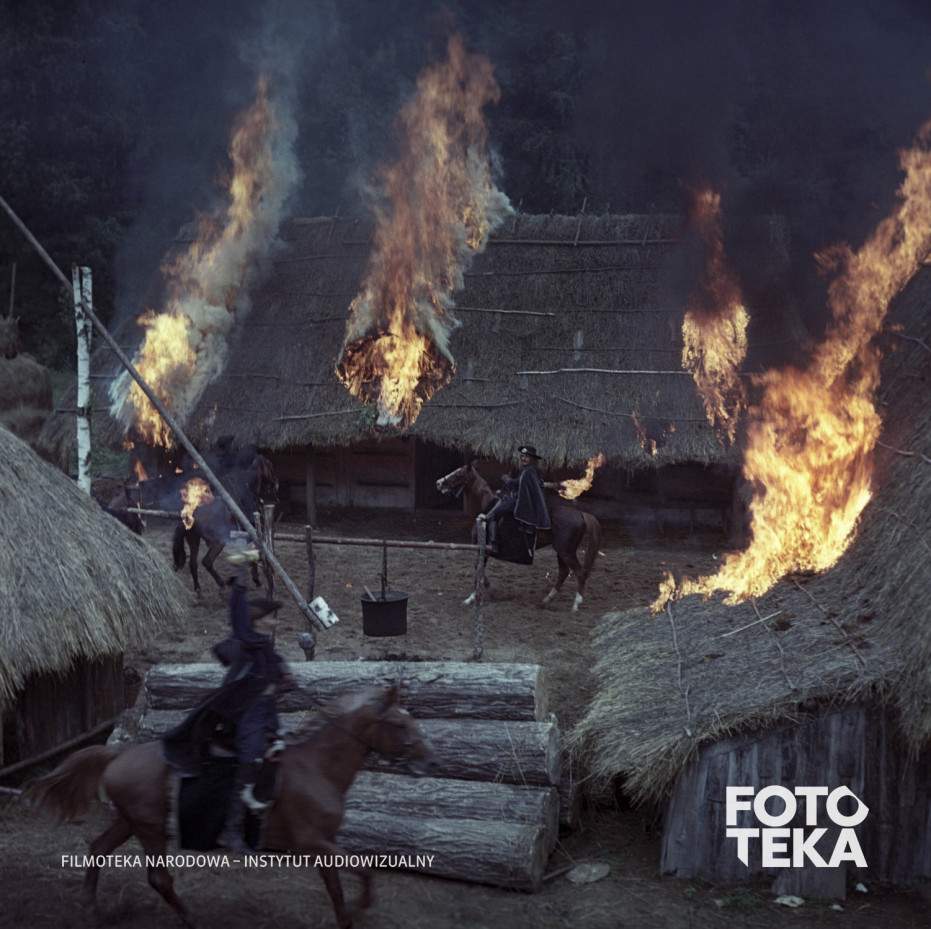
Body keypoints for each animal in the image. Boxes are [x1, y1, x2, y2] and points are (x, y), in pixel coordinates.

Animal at [29, 684, 436, 929]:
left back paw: (92, 910)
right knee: (159, 878)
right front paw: (360, 906)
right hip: (149, 830)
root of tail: (120, 753)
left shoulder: (324, 845)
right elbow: (364, 871)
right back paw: (192, 919)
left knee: (98, 849)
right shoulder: (311, 842)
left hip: (133, 822)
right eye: (399, 724)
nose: (428, 758)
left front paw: (347, 917)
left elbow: (336, 886)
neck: (318, 766)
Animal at [172, 454, 278, 595]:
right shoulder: (251, 534)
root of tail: (192, 513)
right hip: (218, 542)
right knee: (207, 561)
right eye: (270, 465)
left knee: (193, 563)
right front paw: (257, 580)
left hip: (194, 540)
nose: (276, 483)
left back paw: (198, 589)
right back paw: (221, 584)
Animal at [436, 461, 602, 612]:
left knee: (580, 573)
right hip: (562, 551)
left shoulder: (481, 549)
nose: (438, 483)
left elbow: (478, 569)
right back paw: (547, 600)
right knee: (563, 572)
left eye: (457, 475)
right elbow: (478, 569)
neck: (484, 509)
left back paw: (575, 605)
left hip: (566, 552)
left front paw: (475, 597)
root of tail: (581, 514)